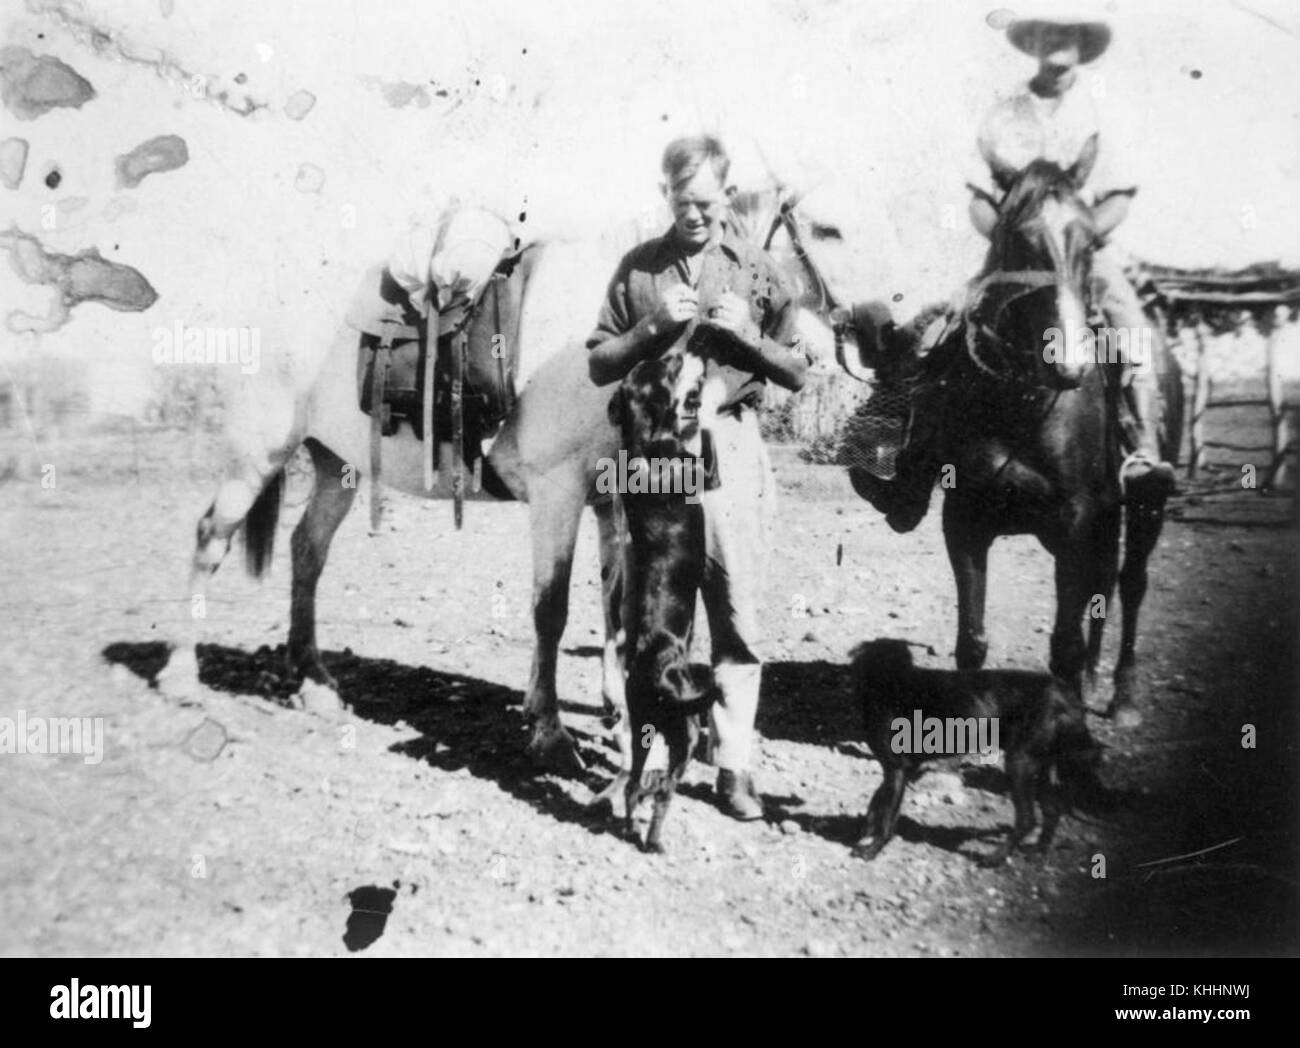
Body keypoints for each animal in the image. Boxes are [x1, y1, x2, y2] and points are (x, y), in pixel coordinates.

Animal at [852, 639, 1107, 868]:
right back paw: (1038, 850)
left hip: (1019, 763)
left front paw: (872, 849)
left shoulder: (897, 768)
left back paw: (995, 858)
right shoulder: (900, 769)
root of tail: (1068, 698)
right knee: (1052, 811)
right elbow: (877, 800)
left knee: (1027, 818)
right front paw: (865, 831)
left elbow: (887, 814)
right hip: (1041, 766)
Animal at [925, 137, 1180, 728]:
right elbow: (971, 640)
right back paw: (1091, 681)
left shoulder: (1074, 522)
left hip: (1146, 504)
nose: (1070, 364)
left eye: (1091, 242)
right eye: (1019, 242)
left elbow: (1062, 643)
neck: (1021, 406)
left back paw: (1122, 697)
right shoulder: (964, 521)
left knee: (1130, 585)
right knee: (1103, 589)